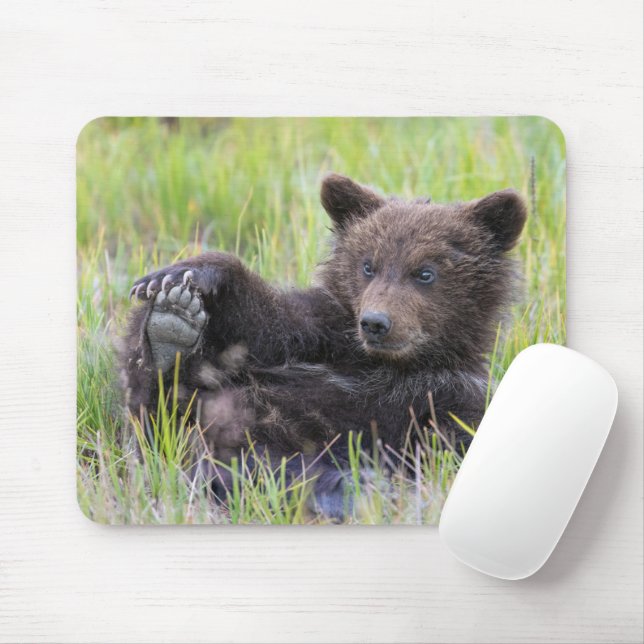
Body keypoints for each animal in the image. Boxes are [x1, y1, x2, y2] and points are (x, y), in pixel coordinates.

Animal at [120, 173, 527, 518]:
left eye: (426, 272)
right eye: (368, 265)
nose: (375, 322)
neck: (393, 364)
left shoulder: (451, 394)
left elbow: (447, 448)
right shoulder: (324, 336)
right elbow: (270, 323)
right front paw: (183, 276)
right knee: (158, 416)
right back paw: (169, 331)